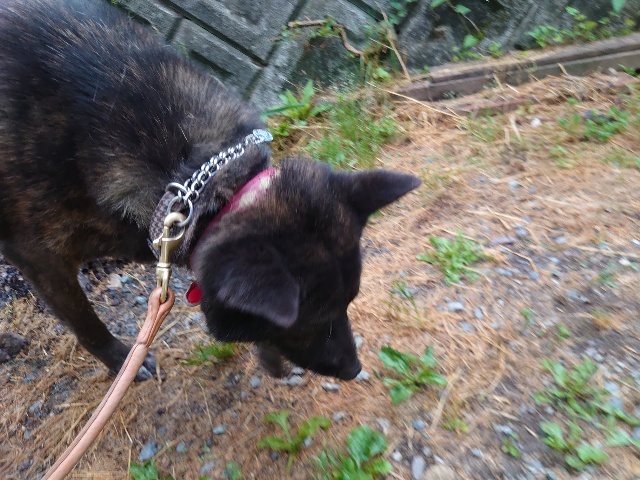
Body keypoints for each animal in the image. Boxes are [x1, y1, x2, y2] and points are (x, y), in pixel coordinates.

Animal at [0, 0, 420, 381]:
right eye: (312, 320)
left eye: (350, 302)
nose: (354, 369)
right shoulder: (42, 262)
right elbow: (87, 325)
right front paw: (123, 362)